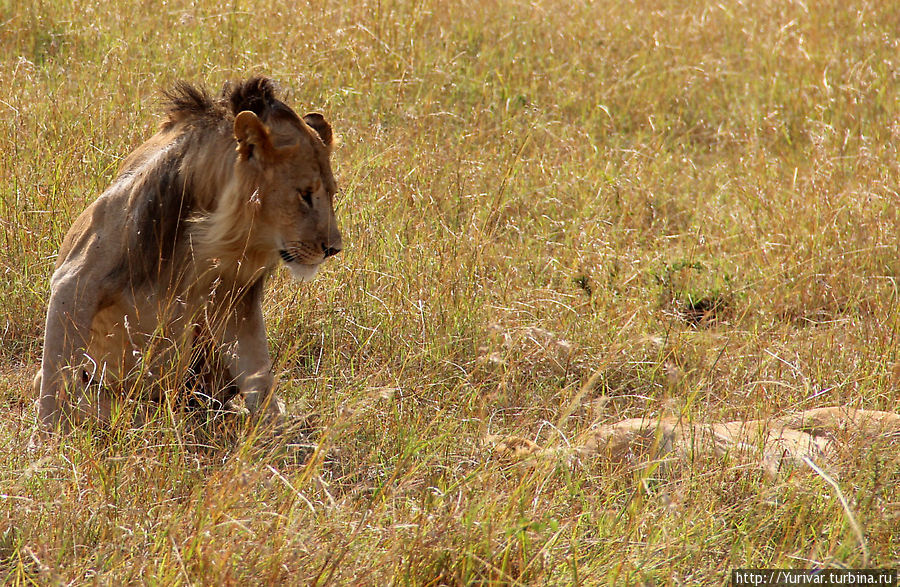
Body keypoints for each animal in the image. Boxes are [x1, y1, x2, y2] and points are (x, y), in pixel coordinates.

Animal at [35, 77, 342, 432]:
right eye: (304, 195)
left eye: (332, 193)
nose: (334, 248)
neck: (210, 229)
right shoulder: (76, 280)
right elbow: (55, 382)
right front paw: (44, 438)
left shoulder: (235, 299)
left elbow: (257, 370)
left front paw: (277, 431)